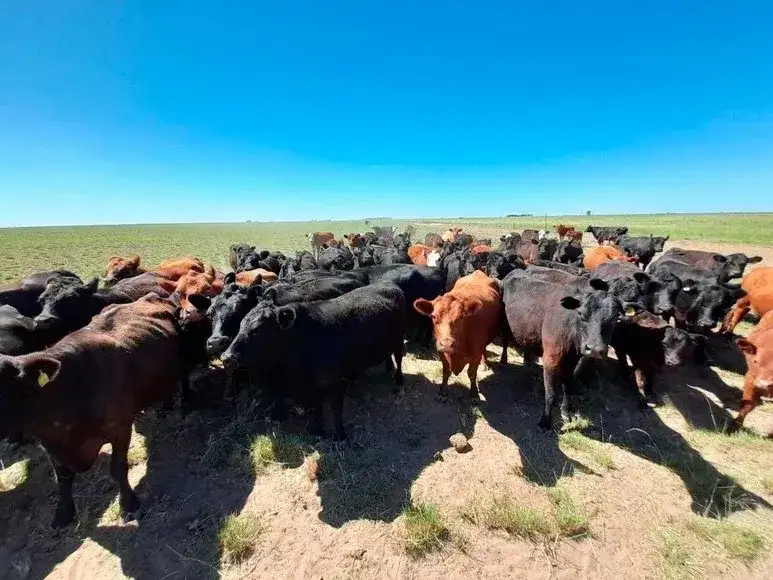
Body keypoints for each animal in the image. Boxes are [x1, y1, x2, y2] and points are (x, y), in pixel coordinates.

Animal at [0, 294, 207, 528]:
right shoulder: (49, 445)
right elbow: (62, 478)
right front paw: (63, 513)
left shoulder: (120, 427)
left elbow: (117, 468)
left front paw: (128, 503)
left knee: (184, 377)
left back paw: (186, 401)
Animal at [220, 283, 406, 440]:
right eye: (241, 324)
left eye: (258, 329)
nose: (227, 357)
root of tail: (390, 285)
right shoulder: (314, 384)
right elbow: (317, 405)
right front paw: (317, 430)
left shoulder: (338, 379)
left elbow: (335, 408)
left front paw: (340, 435)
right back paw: (388, 369)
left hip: (398, 340)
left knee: (398, 357)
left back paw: (398, 379)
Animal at [413, 271, 501, 401]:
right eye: (433, 316)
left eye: (461, 317)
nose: (447, 344)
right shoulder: (441, 352)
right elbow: (445, 371)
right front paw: (442, 391)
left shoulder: (476, 352)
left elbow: (472, 373)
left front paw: (474, 394)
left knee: (484, 349)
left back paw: (485, 363)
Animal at [501, 271, 642, 428]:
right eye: (580, 314)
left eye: (614, 317)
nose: (595, 349)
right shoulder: (551, 357)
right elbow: (550, 393)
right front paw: (545, 420)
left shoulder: (572, 360)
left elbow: (568, 386)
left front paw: (566, 412)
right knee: (505, 342)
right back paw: (503, 360)